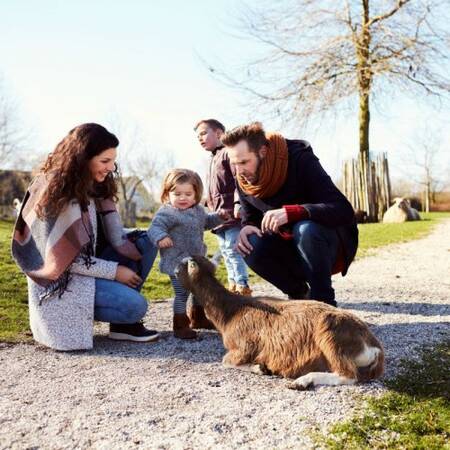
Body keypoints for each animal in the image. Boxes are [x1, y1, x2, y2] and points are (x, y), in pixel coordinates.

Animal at [175, 256, 384, 390]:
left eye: (180, 268)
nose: (172, 271)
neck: (231, 312)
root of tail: (374, 347)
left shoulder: (244, 346)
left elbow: (226, 361)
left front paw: (260, 368)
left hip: (331, 337)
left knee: (349, 375)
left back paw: (302, 382)